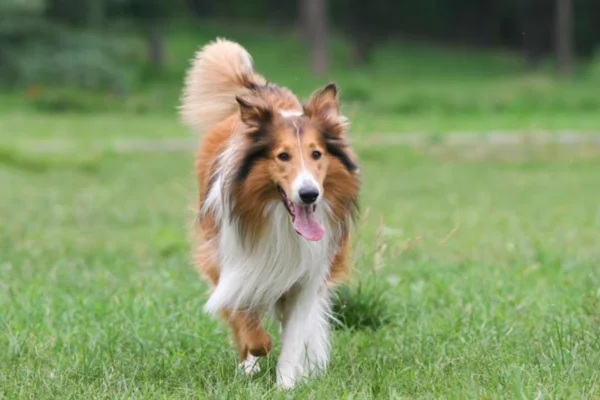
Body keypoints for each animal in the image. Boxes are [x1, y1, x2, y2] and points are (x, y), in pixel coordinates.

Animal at [178, 39, 360, 390]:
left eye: (316, 154)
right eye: (282, 156)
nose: (309, 194)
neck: (279, 221)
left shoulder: (307, 276)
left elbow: (293, 337)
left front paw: (287, 383)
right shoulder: (231, 262)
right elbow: (244, 316)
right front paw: (256, 349)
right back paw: (249, 363)